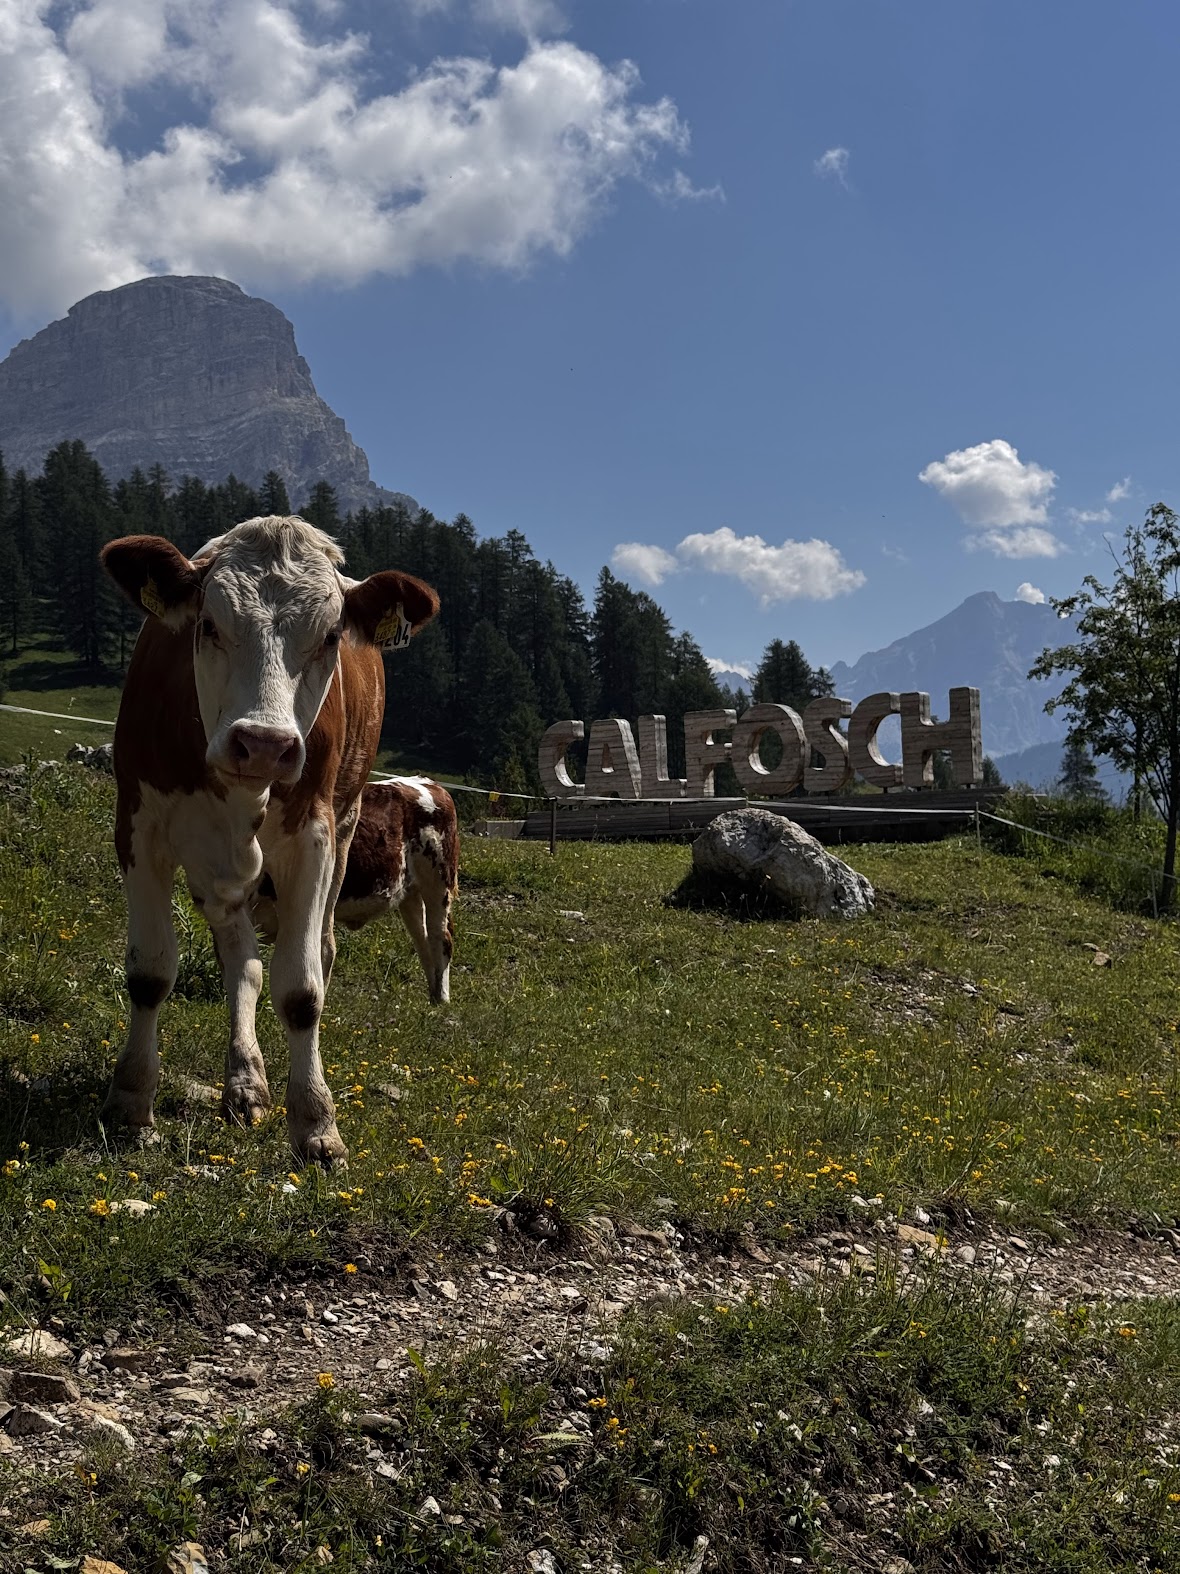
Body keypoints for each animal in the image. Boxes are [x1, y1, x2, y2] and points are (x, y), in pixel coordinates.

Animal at [252, 778, 459, 1005]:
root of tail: (427, 782)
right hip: (410, 894)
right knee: (423, 939)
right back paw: (433, 996)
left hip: (439, 881)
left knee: (441, 937)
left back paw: (442, 999)